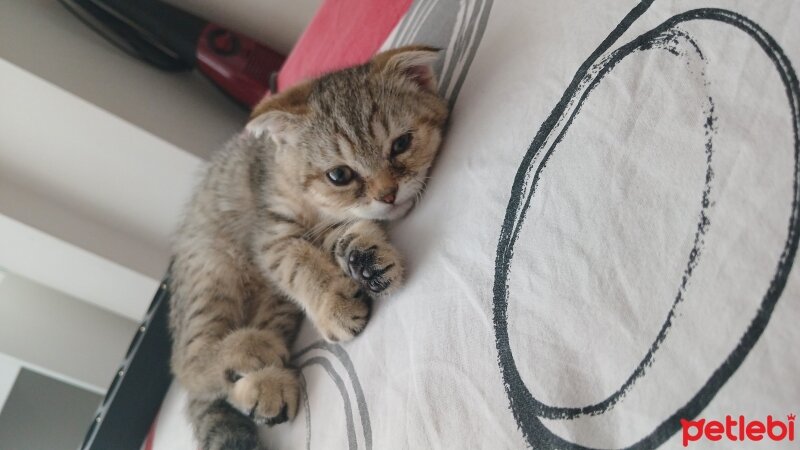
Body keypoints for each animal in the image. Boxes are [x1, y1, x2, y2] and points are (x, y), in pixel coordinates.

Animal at [169, 46, 450, 450]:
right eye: (339, 175)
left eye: (401, 144)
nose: (388, 194)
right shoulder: (270, 237)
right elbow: (300, 264)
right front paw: (333, 303)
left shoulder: (327, 226)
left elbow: (344, 236)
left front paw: (365, 259)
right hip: (212, 274)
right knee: (188, 366)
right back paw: (249, 348)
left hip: (277, 306)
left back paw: (263, 388)